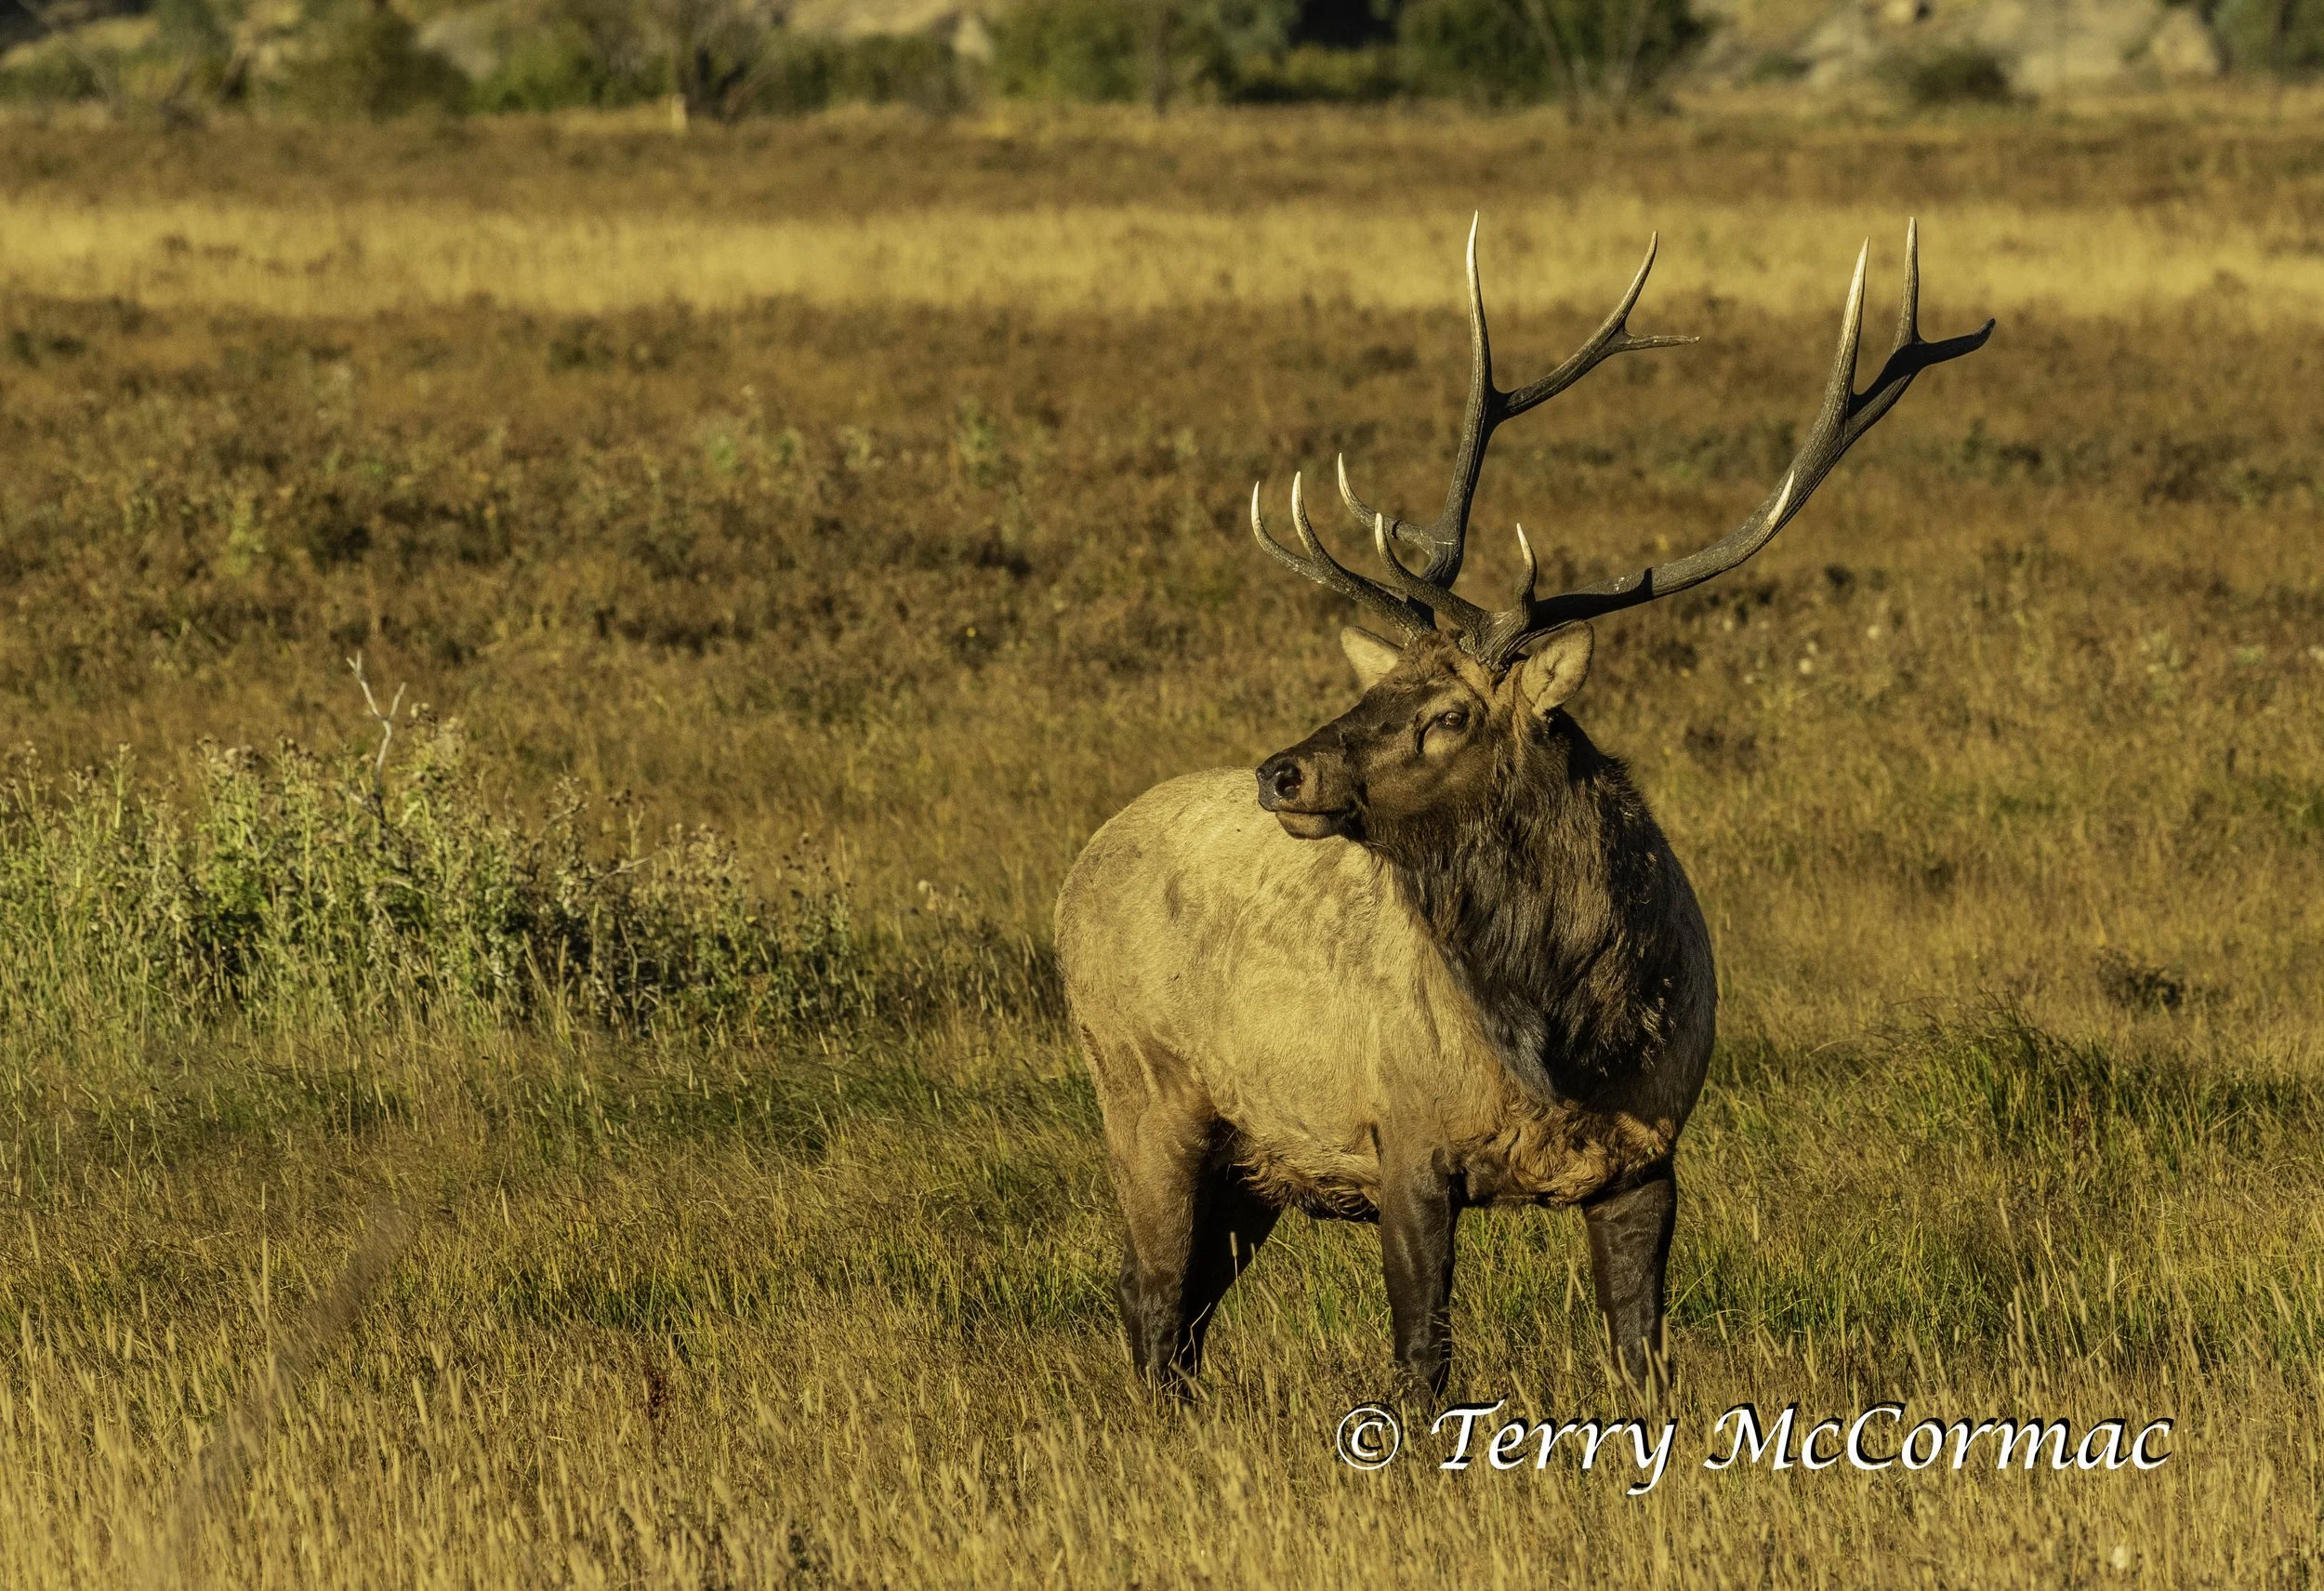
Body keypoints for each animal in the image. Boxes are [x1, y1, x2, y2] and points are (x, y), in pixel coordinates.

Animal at [1055, 220, 1991, 1403]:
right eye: (1380, 684)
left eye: (1448, 712)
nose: (1283, 774)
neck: (1565, 1041)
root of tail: (1079, 864)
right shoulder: (1403, 1136)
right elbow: (1420, 1362)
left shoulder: (1649, 1152)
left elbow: (1639, 1352)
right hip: (1140, 1089)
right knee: (1149, 1297)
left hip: (1252, 1158)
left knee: (1183, 1311)